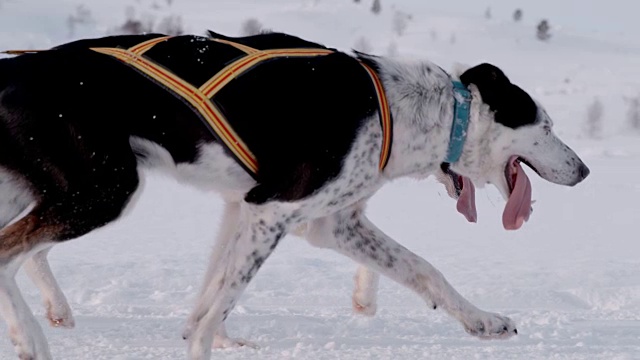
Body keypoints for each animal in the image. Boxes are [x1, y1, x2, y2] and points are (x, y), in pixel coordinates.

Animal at [0, 31, 592, 360]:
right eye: (547, 125)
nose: (585, 170)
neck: (413, 112)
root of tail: (20, 65)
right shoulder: (274, 213)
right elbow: (221, 301)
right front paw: (203, 346)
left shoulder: (296, 217)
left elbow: (424, 269)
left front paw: (482, 322)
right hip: (106, 187)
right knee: (11, 251)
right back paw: (33, 339)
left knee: (23, 249)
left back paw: (43, 320)